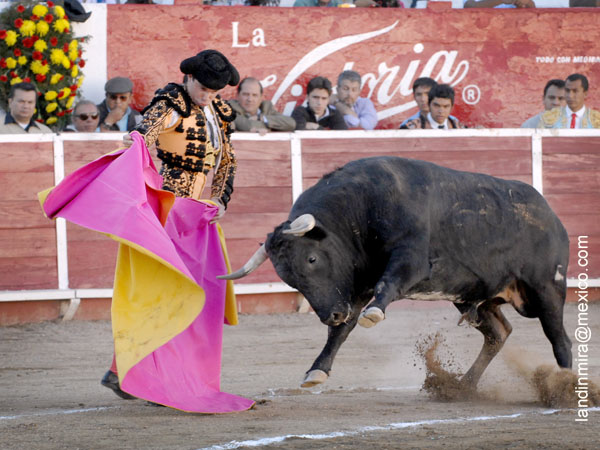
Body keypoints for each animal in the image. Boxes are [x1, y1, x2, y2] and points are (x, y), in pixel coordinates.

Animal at [220, 156, 572, 388]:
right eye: (287, 278)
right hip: (474, 298)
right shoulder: (354, 289)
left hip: (547, 288)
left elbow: (387, 285)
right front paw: (316, 371)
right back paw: (464, 385)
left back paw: (566, 388)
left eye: (312, 259)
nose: (330, 314)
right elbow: (341, 332)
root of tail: (551, 215)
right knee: (499, 333)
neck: (358, 211)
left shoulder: (410, 261)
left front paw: (374, 314)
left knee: (560, 338)